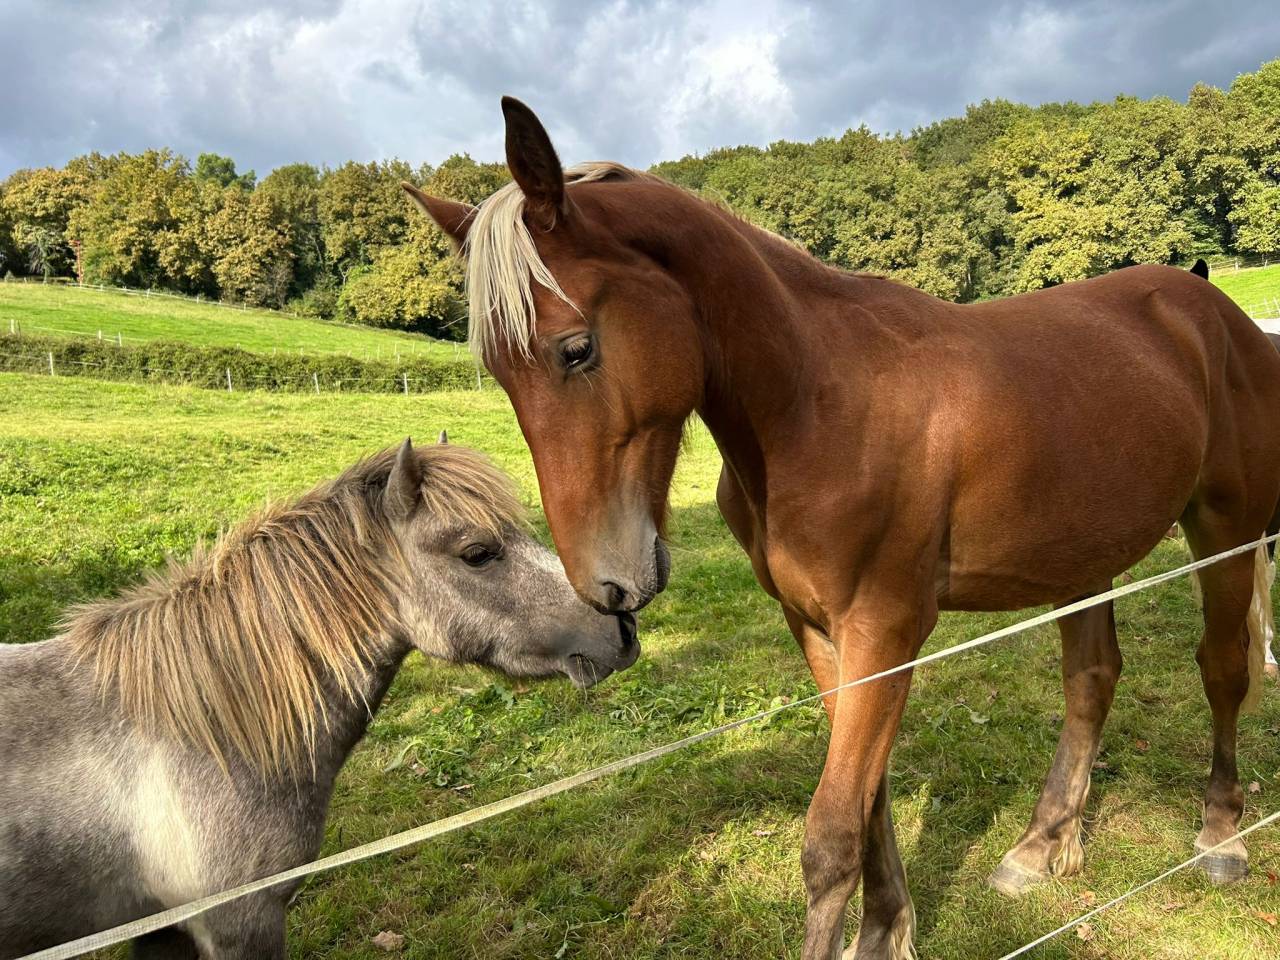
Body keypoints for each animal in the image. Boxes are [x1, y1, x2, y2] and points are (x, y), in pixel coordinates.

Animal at [402, 98, 1280, 959]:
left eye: (576, 349)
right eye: (500, 374)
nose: (606, 586)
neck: (818, 406)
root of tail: (1216, 312)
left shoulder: (885, 631)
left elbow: (829, 838)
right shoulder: (822, 632)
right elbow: (869, 804)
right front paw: (886, 930)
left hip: (1225, 531)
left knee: (1223, 668)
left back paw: (1220, 837)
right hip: (1080, 558)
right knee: (1093, 679)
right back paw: (1042, 846)